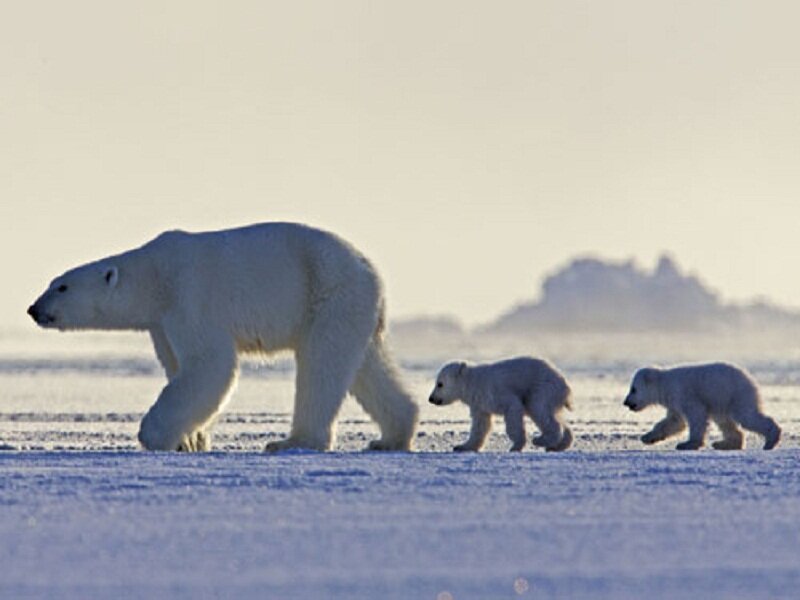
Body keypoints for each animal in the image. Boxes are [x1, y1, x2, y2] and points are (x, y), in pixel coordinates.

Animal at [27, 222, 418, 452]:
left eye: (61, 287)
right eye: (52, 282)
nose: (34, 308)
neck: (156, 275)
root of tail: (373, 273)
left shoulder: (190, 296)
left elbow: (209, 366)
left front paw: (153, 435)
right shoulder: (162, 323)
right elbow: (178, 367)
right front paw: (191, 440)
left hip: (327, 295)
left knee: (322, 366)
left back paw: (291, 441)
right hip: (352, 309)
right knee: (365, 366)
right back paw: (390, 437)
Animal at [428, 357, 573, 452]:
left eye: (440, 384)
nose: (431, 399)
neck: (473, 382)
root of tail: (565, 385)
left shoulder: (494, 391)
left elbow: (512, 408)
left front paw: (516, 446)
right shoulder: (479, 403)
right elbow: (480, 425)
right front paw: (461, 446)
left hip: (542, 388)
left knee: (539, 409)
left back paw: (540, 440)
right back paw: (560, 445)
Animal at [623, 362, 781, 450]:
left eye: (633, 389)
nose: (626, 402)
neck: (665, 384)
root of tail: (750, 378)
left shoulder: (684, 393)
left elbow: (696, 416)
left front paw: (687, 444)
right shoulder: (674, 402)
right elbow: (674, 422)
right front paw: (647, 437)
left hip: (735, 394)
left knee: (747, 416)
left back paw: (771, 441)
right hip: (723, 402)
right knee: (725, 422)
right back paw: (723, 444)